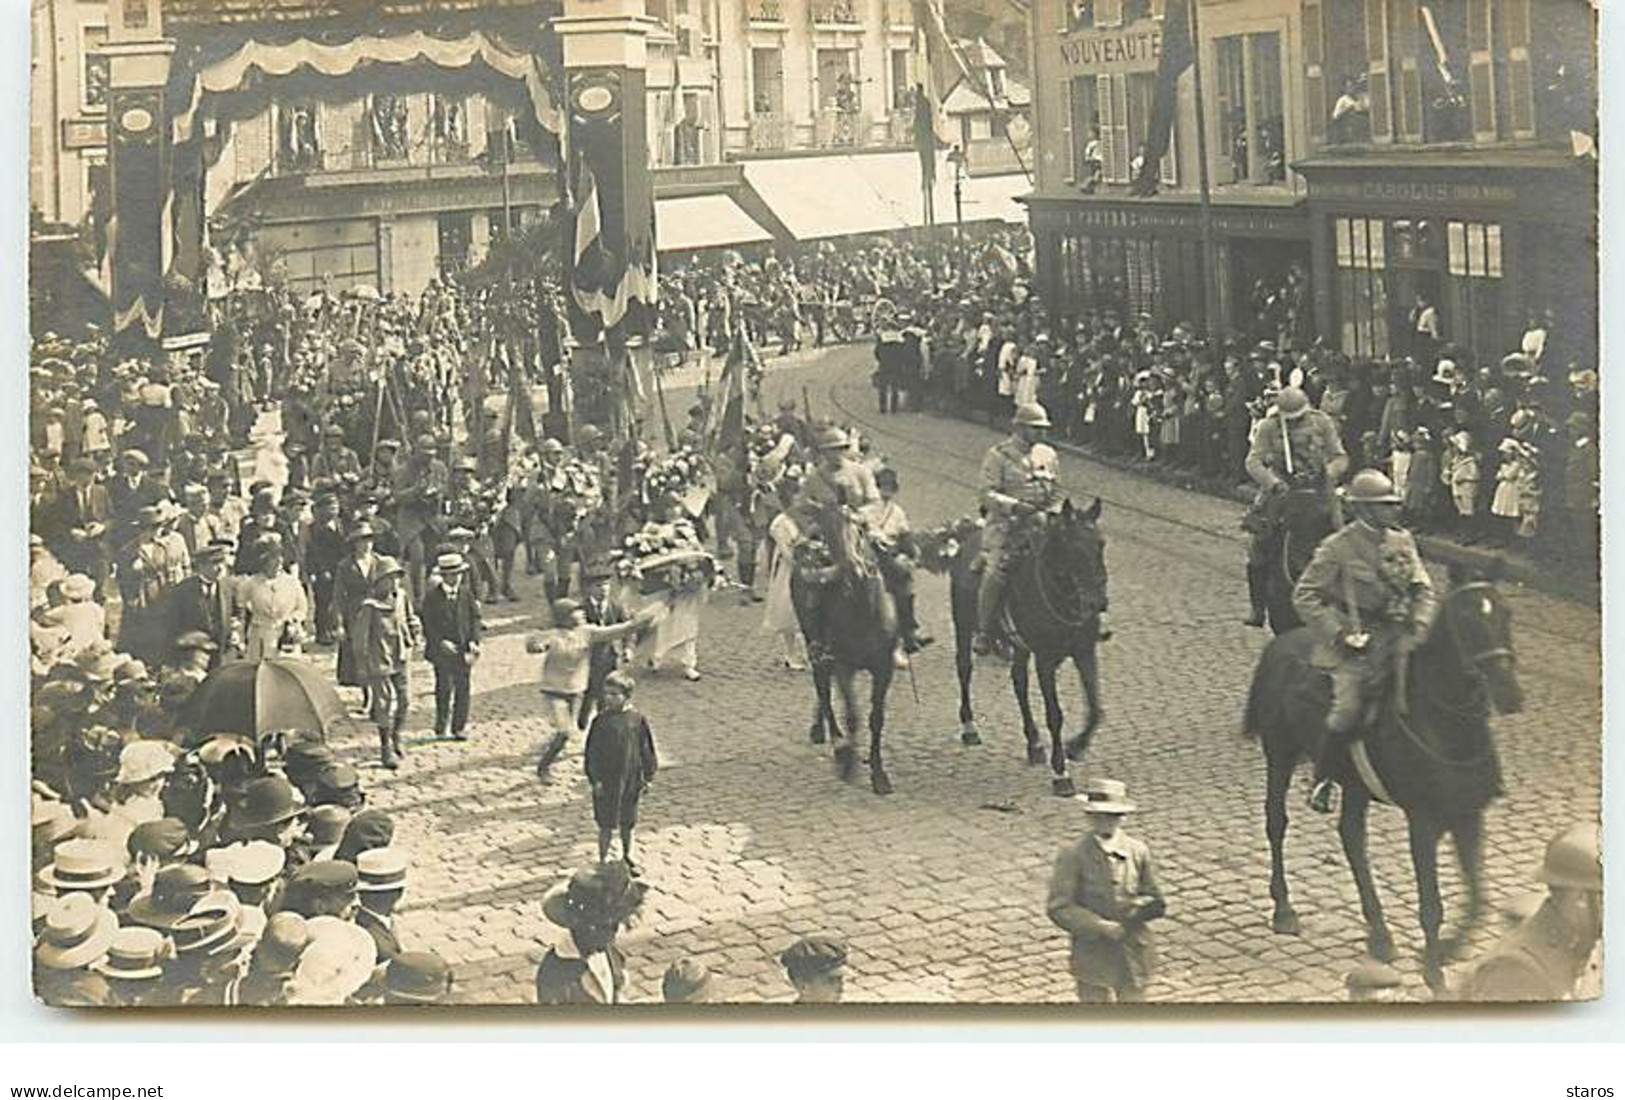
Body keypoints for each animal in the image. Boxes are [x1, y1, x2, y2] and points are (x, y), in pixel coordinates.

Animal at [789, 500, 903, 792]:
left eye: (859, 530)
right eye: (830, 535)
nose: (856, 570)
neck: (863, 613)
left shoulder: (883, 668)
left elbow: (876, 718)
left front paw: (878, 773)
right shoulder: (844, 666)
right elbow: (852, 715)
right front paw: (848, 762)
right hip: (814, 644)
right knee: (823, 690)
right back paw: (834, 742)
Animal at [942, 497, 1105, 789]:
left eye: (1101, 544)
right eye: (1074, 548)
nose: (1098, 602)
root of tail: (967, 539)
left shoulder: (1084, 652)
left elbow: (1096, 706)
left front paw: (1077, 746)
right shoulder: (1045, 660)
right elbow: (1055, 714)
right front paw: (1061, 773)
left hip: (1019, 647)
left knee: (1019, 683)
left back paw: (1034, 744)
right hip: (963, 627)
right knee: (964, 670)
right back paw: (970, 728)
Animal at [1241, 558, 1521, 987]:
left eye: (1505, 612)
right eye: (1465, 617)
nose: (1509, 693)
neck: (1446, 727)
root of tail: (1281, 643)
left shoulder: (1468, 816)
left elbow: (1477, 900)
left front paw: (1448, 951)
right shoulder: (1423, 821)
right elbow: (1432, 905)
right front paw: (1434, 971)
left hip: (1355, 785)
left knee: (1352, 838)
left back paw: (1379, 933)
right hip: (1281, 755)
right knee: (1277, 822)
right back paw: (1285, 909)